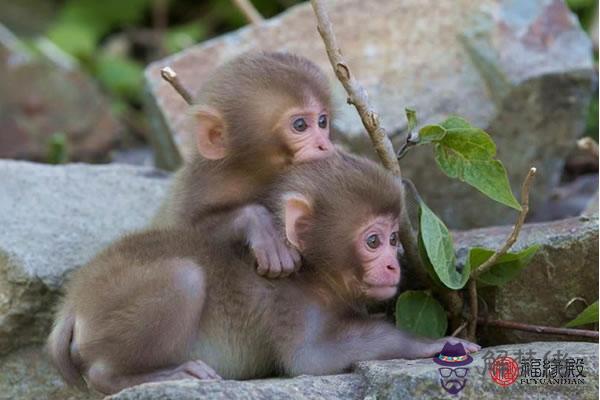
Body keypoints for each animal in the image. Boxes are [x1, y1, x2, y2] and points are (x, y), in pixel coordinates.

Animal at [47, 153, 480, 394]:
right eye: (373, 241)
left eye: (393, 238)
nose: (393, 264)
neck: (312, 275)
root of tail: (75, 303)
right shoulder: (291, 304)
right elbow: (311, 359)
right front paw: (431, 343)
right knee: (184, 279)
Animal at [152, 52, 336, 278]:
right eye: (300, 125)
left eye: (322, 121)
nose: (324, 145)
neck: (252, 174)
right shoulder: (199, 187)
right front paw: (261, 225)